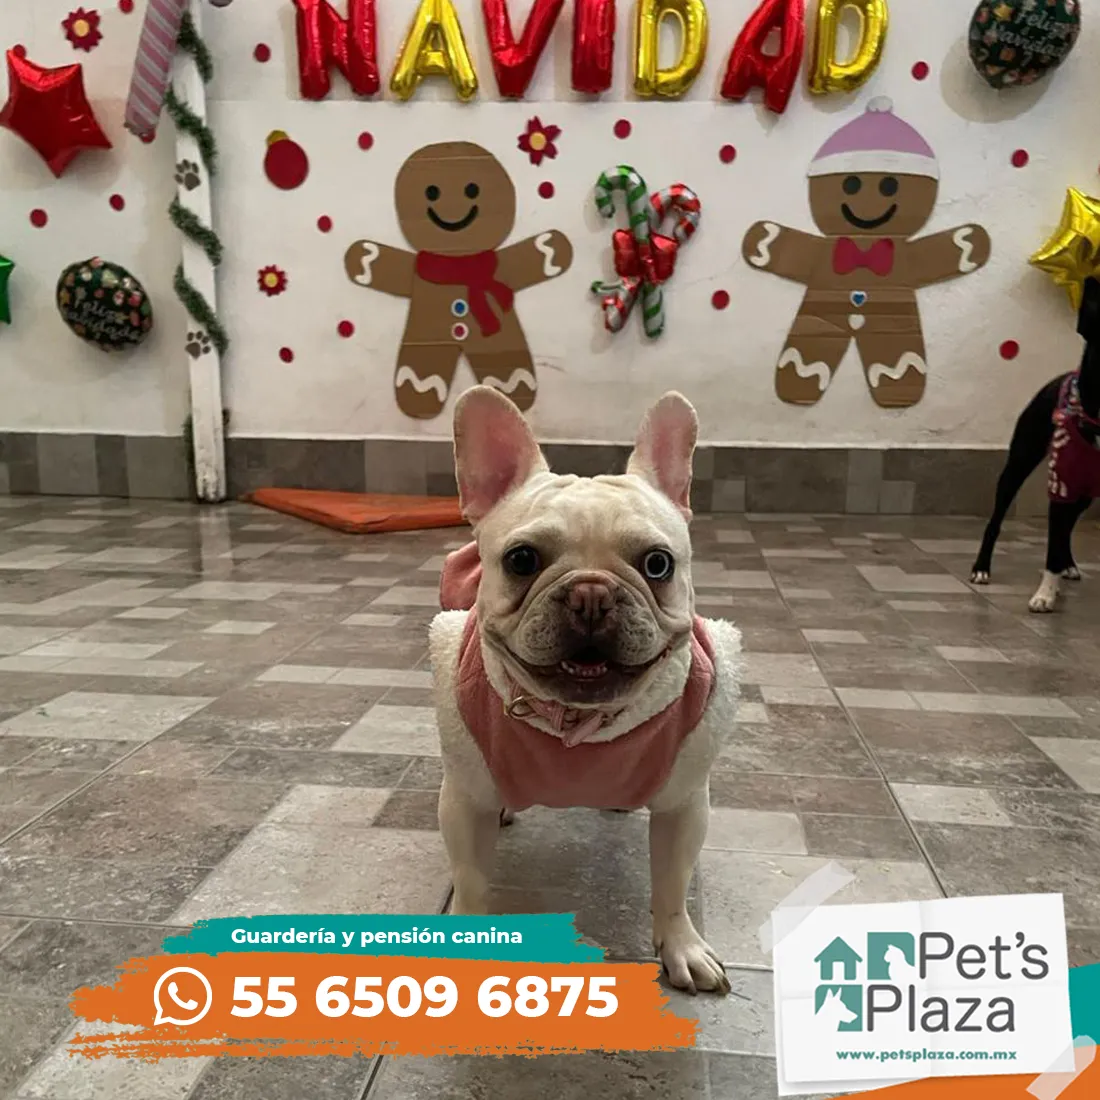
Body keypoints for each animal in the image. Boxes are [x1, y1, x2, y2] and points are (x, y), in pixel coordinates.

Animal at [429, 386, 742, 994]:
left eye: (658, 563)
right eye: (521, 559)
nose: (591, 595)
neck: (577, 722)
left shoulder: (684, 803)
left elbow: (672, 883)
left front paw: (682, 946)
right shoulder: (464, 802)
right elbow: (471, 879)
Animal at [971, 276, 1100, 612]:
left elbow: (1059, 534)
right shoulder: (1061, 485)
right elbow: (1051, 546)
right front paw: (1045, 594)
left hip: (1084, 492)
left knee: (1066, 528)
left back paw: (1069, 565)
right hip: (1018, 465)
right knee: (996, 521)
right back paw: (981, 568)